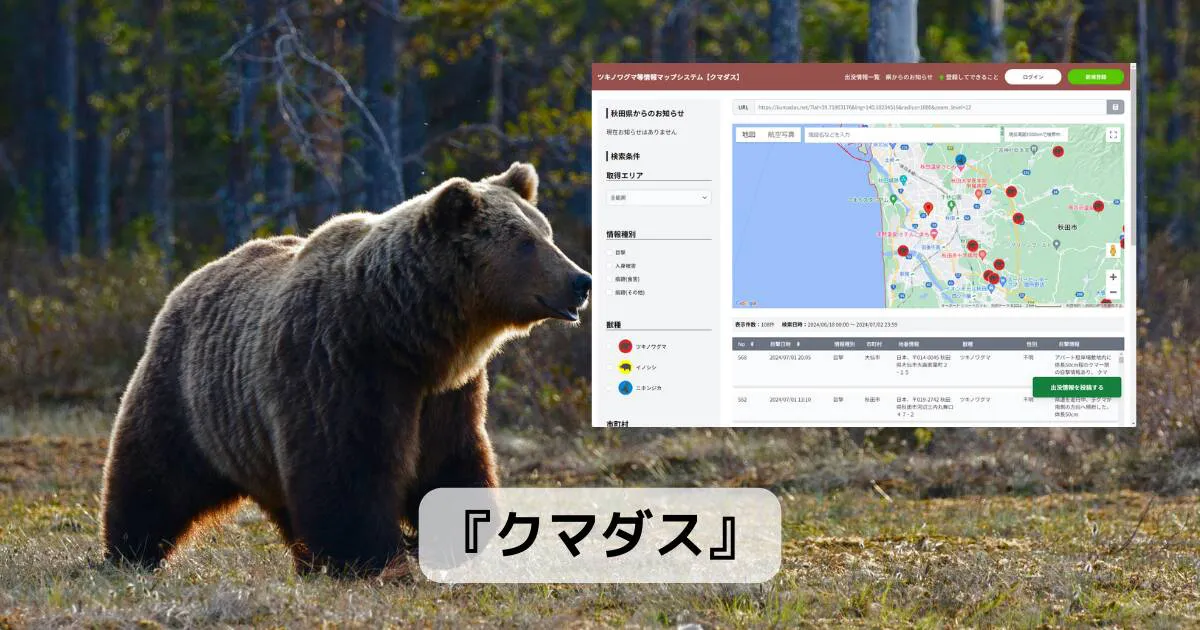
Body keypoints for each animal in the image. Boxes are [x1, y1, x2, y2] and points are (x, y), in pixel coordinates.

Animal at [99, 162, 590, 576]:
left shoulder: (448, 394)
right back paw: (129, 551)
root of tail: (193, 278)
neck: (406, 333)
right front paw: (371, 556)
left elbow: (451, 460)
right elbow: (347, 470)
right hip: (189, 395)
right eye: (525, 242)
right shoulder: (340, 367)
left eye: (546, 232)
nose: (580, 280)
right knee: (154, 474)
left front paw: (445, 540)